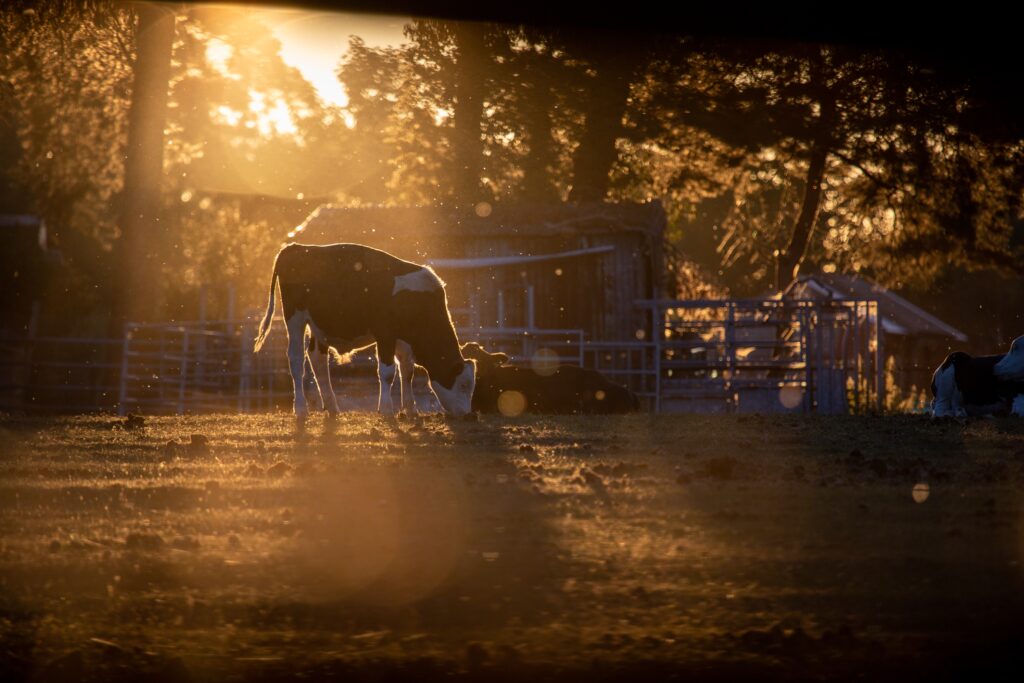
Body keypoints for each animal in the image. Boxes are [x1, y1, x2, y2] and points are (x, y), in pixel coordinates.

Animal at [256, 242, 479, 419]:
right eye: (462, 385)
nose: (468, 415)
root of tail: (296, 248)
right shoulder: (385, 334)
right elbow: (387, 372)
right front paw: (387, 410)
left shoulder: (404, 341)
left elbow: (407, 372)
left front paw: (410, 410)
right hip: (295, 319)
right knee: (296, 360)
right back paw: (301, 409)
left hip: (318, 326)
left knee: (318, 360)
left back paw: (332, 406)